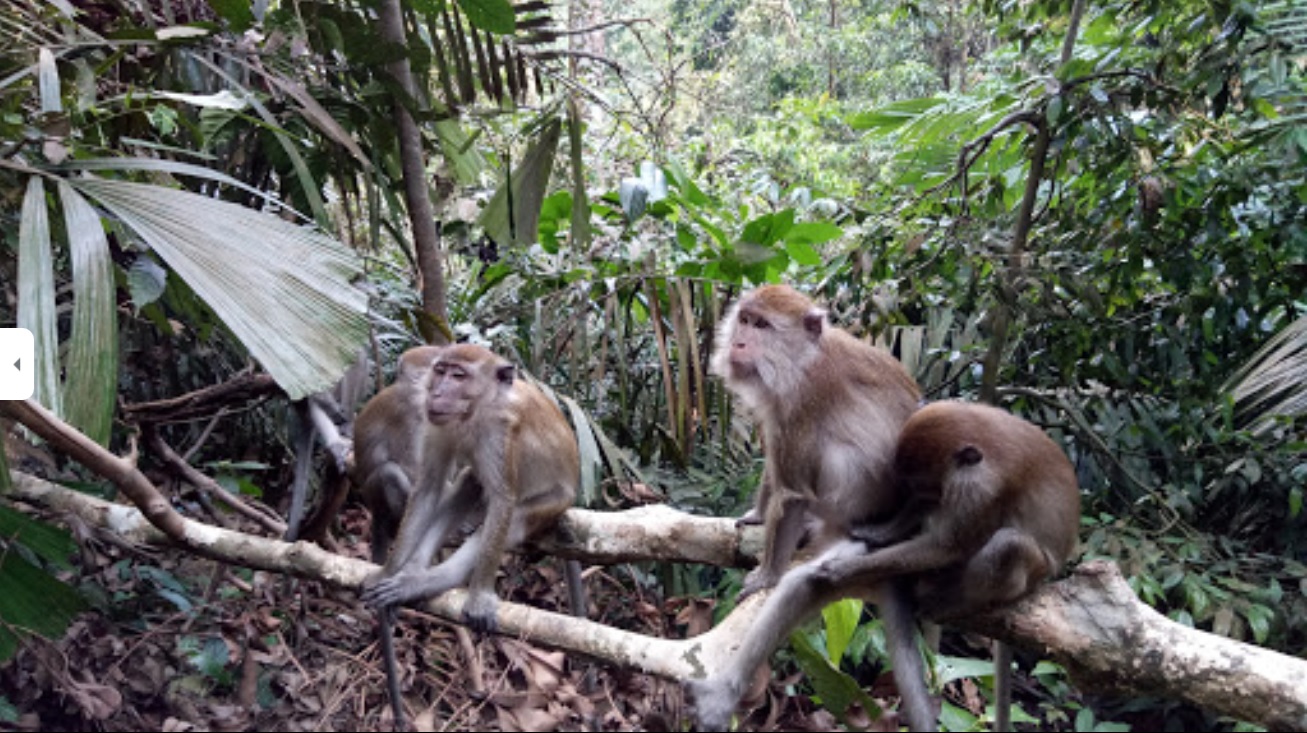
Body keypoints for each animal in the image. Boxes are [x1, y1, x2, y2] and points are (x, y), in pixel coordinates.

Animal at [360, 342, 580, 635]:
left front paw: (479, 596)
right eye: (440, 371)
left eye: (458, 376)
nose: (436, 393)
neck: (474, 411)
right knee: (469, 482)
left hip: (554, 502)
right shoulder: (435, 422)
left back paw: (427, 582)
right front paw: (389, 570)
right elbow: (429, 486)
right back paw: (414, 573)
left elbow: (502, 500)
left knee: (514, 519)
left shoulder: (499, 433)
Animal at [695, 399, 1082, 731]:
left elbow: (948, 545)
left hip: (1027, 576)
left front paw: (841, 570)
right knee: (801, 585)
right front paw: (877, 534)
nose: (925, 499)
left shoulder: (977, 489)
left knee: (1007, 545)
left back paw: (946, 602)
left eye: (930, 487)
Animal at [705, 283, 930, 726]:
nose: (738, 342)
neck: (801, 358)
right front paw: (757, 515)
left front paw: (767, 575)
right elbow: (775, 471)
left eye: (761, 326)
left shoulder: (803, 400)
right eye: (744, 319)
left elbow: (793, 491)